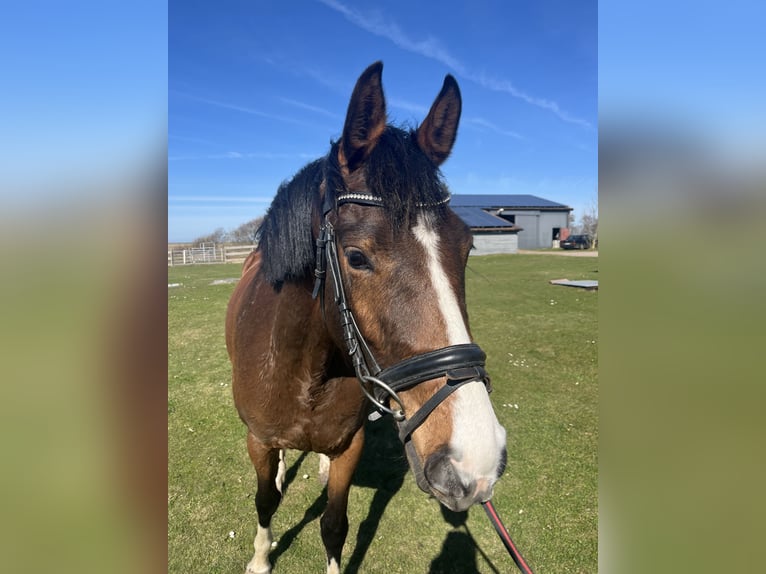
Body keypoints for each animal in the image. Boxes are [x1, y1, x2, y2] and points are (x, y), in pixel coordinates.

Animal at [226, 61, 507, 574]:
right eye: (356, 257)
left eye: (467, 246)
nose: (474, 460)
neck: (305, 371)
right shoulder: (258, 440)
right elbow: (264, 501)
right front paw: (260, 558)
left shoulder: (349, 447)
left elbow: (334, 526)